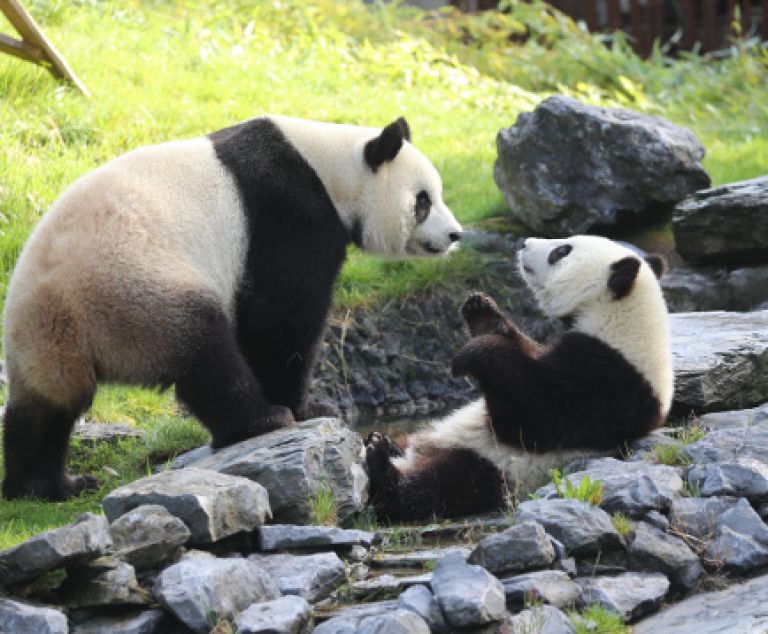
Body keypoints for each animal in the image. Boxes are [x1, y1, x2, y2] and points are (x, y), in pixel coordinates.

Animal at [3, 113, 462, 498]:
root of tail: (62, 301)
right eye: (423, 200)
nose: (455, 235)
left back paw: (45, 486)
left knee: (46, 408)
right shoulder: (289, 212)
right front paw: (309, 407)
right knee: (203, 352)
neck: (331, 166)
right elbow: (282, 317)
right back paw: (260, 419)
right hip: (135, 290)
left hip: (40, 337)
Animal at [366, 235, 672, 520]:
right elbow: (526, 350)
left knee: (440, 487)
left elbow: (532, 417)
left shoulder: (609, 384)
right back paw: (386, 443)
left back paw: (381, 464)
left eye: (562, 250)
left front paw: (475, 353)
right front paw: (482, 311)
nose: (525, 243)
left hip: (494, 467)